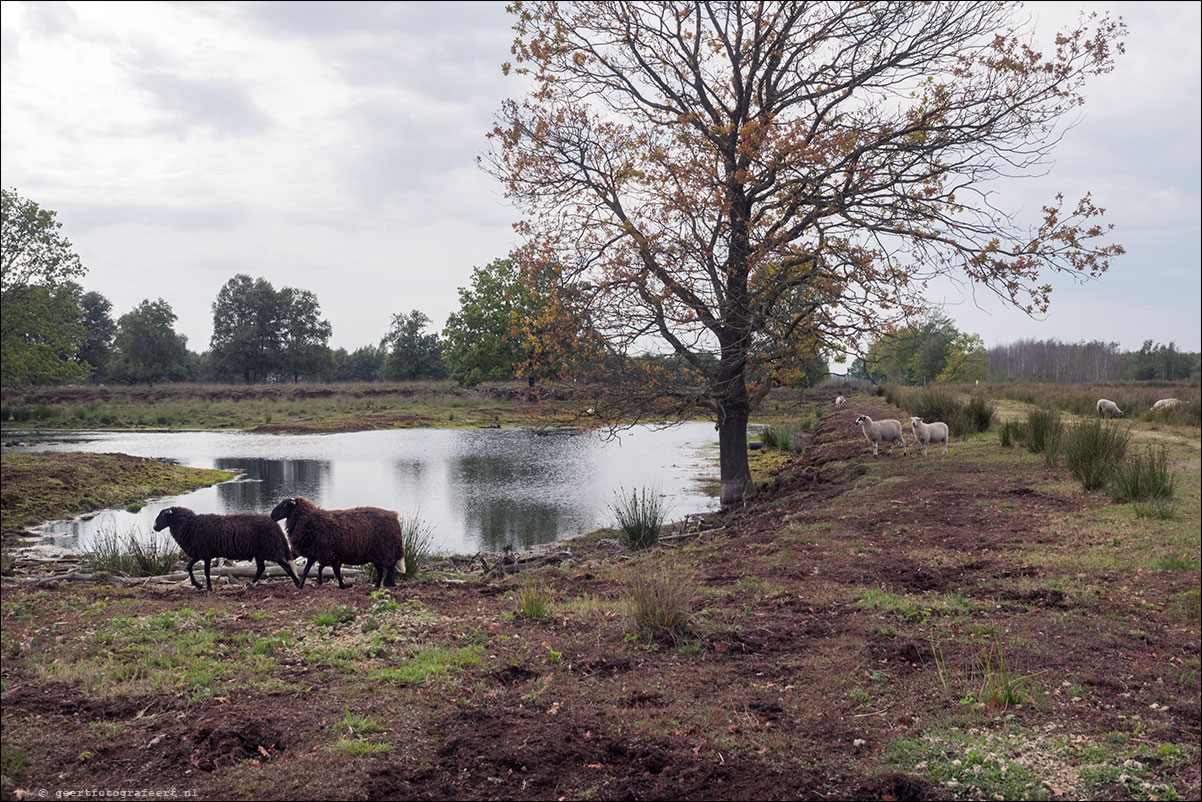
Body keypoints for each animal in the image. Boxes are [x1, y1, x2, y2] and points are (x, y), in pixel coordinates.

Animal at [152, 505, 302, 593]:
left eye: (163, 515)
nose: (155, 527)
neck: (190, 525)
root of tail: (276, 526)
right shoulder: (200, 553)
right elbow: (189, 567)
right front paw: (199, 585)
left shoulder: (204, 553)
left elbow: (206, 572)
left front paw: (208, 587)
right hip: (261, 552)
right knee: (261, 568)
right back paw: (251, 584)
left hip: (271, 549)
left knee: (286, 567)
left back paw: (297, 584)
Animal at [270, 495, 406, 589]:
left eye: (285, 505)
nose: (271, 516)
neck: (311, 520)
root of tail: (394, 516)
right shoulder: (319, 553)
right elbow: (312, 569)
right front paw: (307, 584)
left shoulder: (327, 554)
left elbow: (327, 570)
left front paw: (342, 585)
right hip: (376, 554)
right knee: (382, 570)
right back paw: (378, 585)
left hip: (385, 550)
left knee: (390, 567)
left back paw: (388, 583)